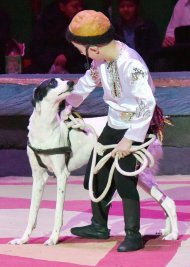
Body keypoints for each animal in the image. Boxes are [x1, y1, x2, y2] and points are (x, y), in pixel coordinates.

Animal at [9, 78, 95, 246]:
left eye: (62, 79)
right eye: (52, 83)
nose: (71, 82)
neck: (46, 128)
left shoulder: (62, 175)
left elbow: (58, 213)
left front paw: (53, 238)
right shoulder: (38, 177)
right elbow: (32, 212)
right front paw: (23, 239)